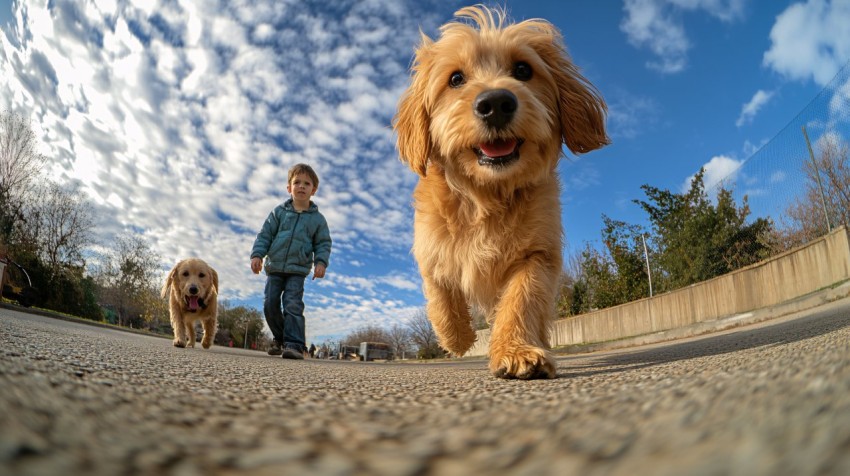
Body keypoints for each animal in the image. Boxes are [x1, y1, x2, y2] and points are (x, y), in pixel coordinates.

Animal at [394, 5, 608, 380]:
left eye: (523, 70)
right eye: (455, 79)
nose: (495, 102)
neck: (487, 195)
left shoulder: (538, 253)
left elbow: (521, 298)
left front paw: (516, 351)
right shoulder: (429, 246)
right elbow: (440, 292)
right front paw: (458, 338)